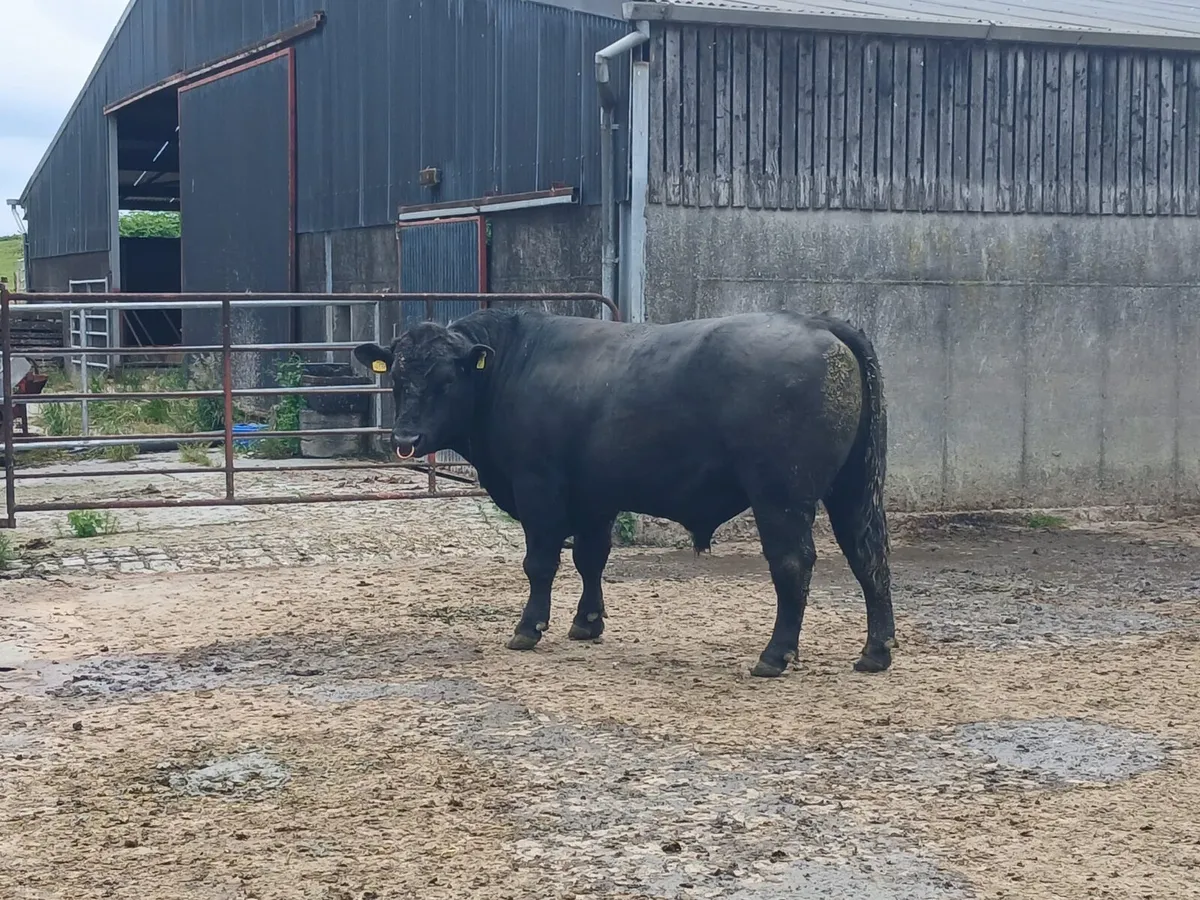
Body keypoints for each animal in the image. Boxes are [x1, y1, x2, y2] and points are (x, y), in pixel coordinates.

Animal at [354, 307, 896, 678]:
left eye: (446, 380)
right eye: (398, 377)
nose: (405, 439)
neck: (512, 367)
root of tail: (818, 322)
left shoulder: (537, 487)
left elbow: (541, 562)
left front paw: (529, 627)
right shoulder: (596, 497)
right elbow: (590, 558)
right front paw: (587, 622)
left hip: (780, 495)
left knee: (793, 564)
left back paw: (776, 654)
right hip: (851, 489)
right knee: (868, 556)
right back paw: (875, 650)